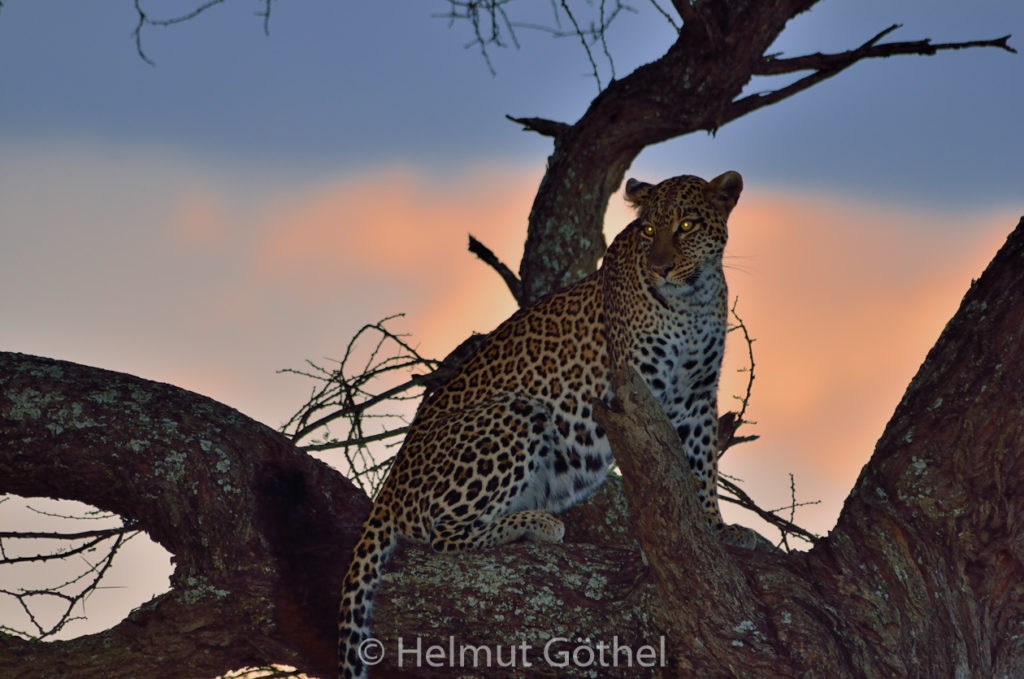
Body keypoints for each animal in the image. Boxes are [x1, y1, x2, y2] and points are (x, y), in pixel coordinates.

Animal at [338, 170, 744, 679]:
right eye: (649, 230)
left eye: (686, 225)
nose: (662, 268)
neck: (692, 300)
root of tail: (388, 490)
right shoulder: (635, 391)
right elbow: (657, 474)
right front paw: (659, 541)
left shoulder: (696, 397)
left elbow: (701, 466)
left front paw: (714, 528)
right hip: (517, 413)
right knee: (443, 536)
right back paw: (536, 524)